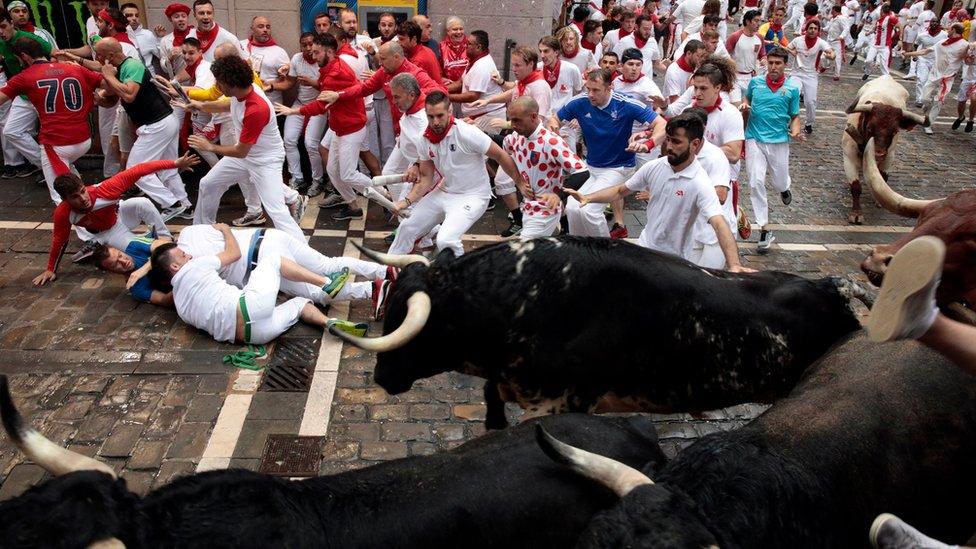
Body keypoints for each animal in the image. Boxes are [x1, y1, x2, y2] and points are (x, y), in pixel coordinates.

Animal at [844, 76, 928, 224]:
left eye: (894, 131)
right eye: (870, 128)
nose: (878, 153)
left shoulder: (889, 157)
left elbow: (882, 178)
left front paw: (879, 201)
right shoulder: (849, 158)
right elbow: (855, 187)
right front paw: (856, 213)